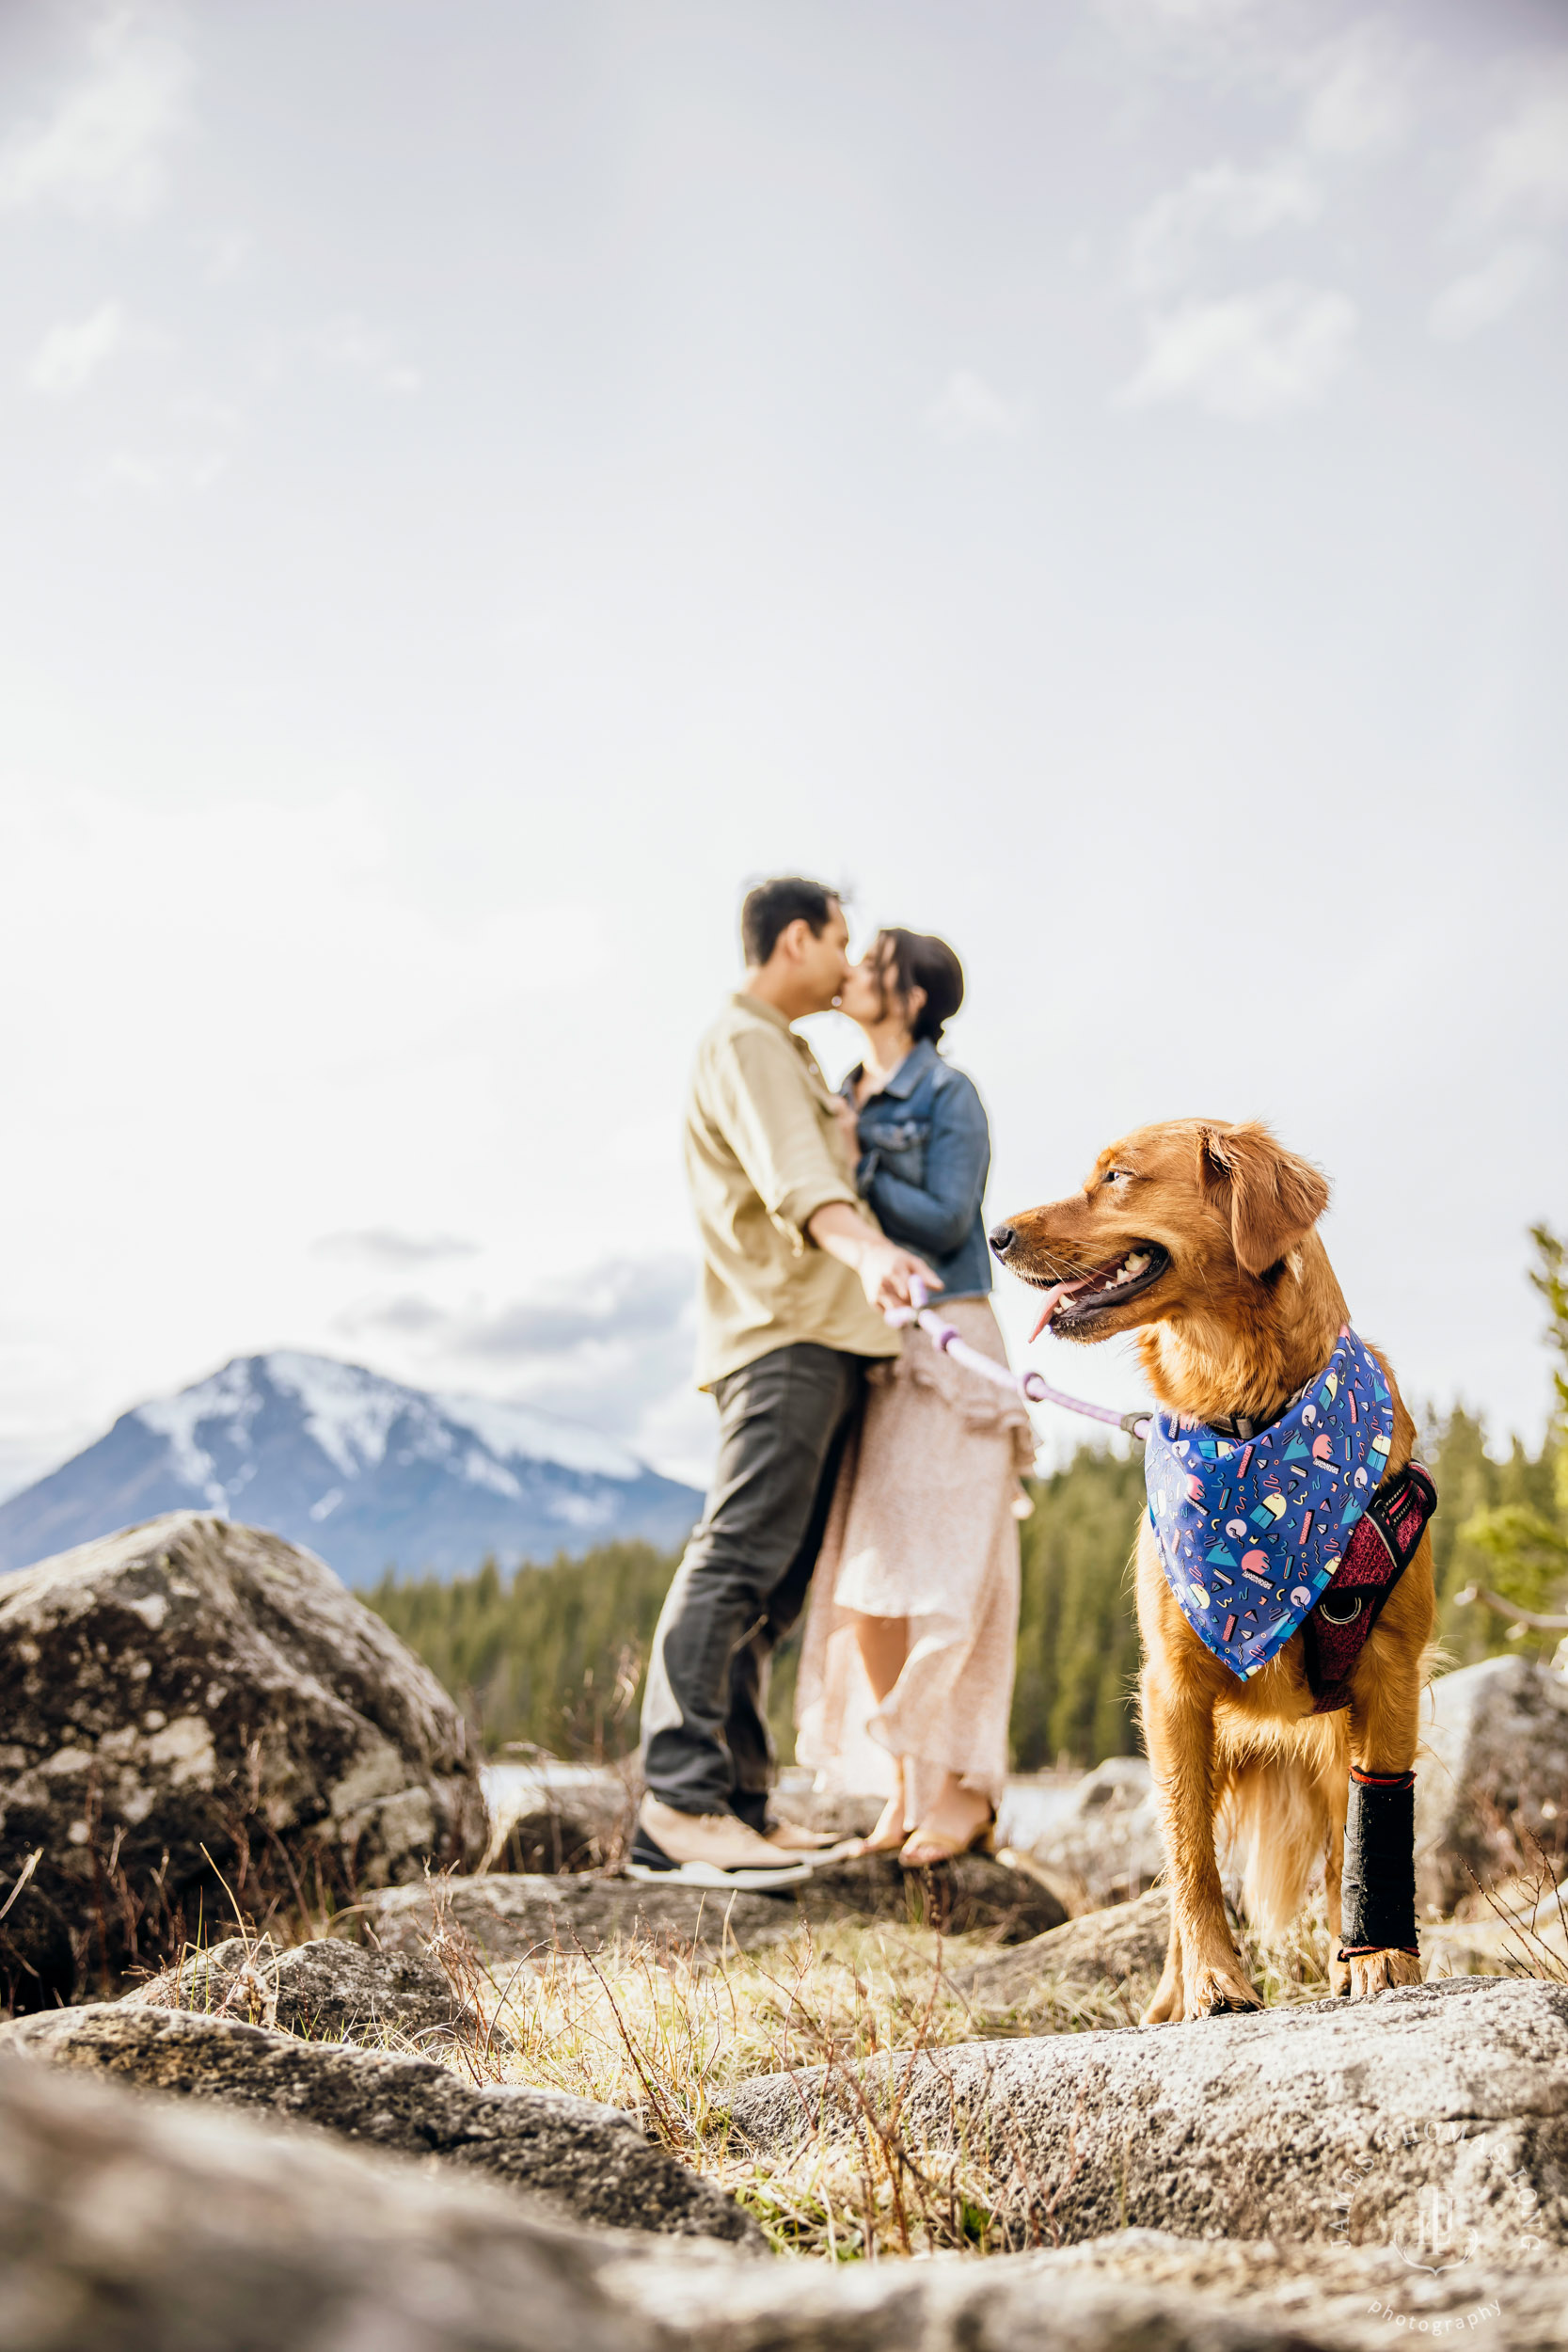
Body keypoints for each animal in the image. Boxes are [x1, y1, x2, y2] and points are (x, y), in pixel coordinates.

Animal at [991, 1120, 1438, 2023]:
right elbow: (1190, 1861)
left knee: (1338, 1841)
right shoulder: (1173, 1690)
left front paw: (1379, 1959)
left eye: (1117, 1177)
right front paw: (1212, 1983)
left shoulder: (1390, 1674)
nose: (993, 1235)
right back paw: (1171, 1996)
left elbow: (1374, 1826)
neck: (1245, 1419)